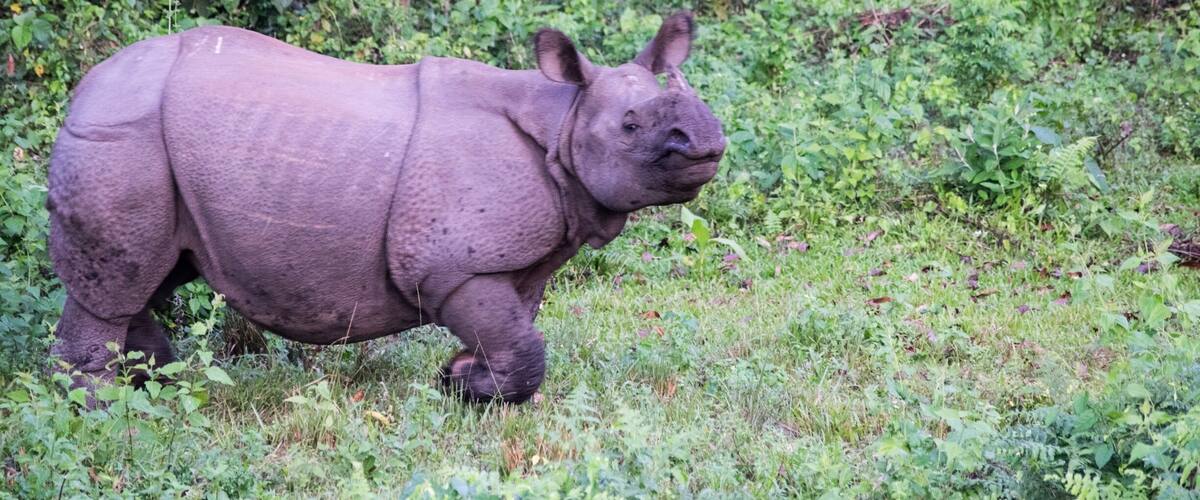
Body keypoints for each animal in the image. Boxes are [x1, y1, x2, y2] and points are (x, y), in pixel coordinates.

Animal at [47, 11, 725, 403]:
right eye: (631, 126)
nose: (709, 139)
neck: (564, 121)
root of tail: (87, 86)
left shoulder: (519, 257)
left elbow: (518, 334)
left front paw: (464, 378)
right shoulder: (453, 266)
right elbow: (523, 347)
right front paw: (466, 386)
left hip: (152, 145)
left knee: (152, 275)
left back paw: (157, 380)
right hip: (124, 137)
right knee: (119, 281)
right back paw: (101, 407)